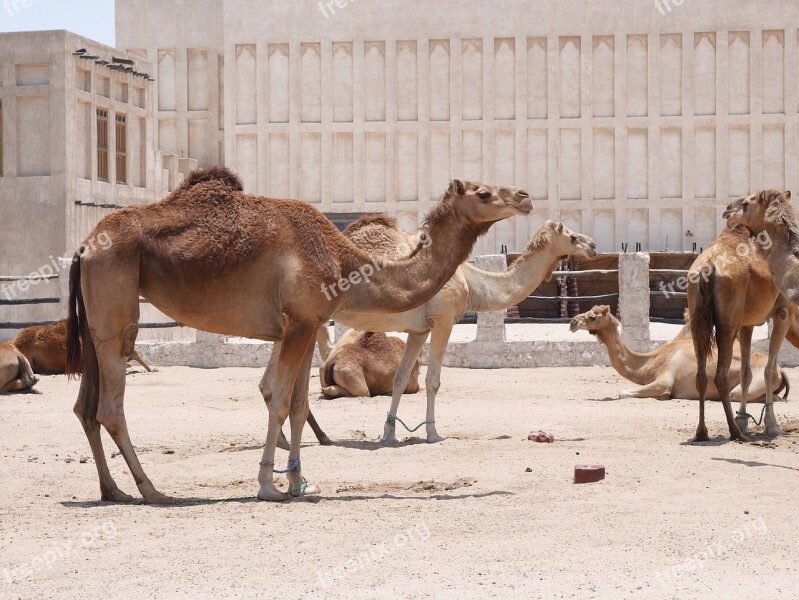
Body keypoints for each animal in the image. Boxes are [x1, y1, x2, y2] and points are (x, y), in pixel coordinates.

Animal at [67, 165, 532, 502]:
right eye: (483, 193)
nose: (524, 197)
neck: (343, 261)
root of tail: (85, 245)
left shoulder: (307, 325)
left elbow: (295, 404)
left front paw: (297, 483)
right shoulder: (299, 325)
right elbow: (278, 404)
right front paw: (268, 485)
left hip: (94, 319)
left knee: (84, 407)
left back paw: (113, 490)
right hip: (115, 308)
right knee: (110, 407)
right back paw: (153, 491)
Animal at [280, 217, 592, 446]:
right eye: (571, 237)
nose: (591, 245)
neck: (470, 281)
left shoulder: (418, 329)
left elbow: (400, 379)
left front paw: (389, 433)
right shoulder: (443, 321)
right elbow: (433, 380)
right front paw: (432, 433)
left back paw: (311, 438)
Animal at [572, 308, 792, 400]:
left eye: (592, 317)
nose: (573, 322)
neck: (648, 362)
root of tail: (780, 371)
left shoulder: (664, 380)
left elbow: (622, 393)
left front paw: (664, 397)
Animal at [684, 217, 792, 440]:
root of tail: (708, 267)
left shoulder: (747, 323)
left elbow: (746, 372)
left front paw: (744, 422)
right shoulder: (783, 313)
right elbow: (769, 370)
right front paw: (771, 426)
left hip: (697, 320)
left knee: (701, 375)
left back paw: (702, 432)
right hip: (727, 323)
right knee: (720, 375)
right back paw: (735, 432)